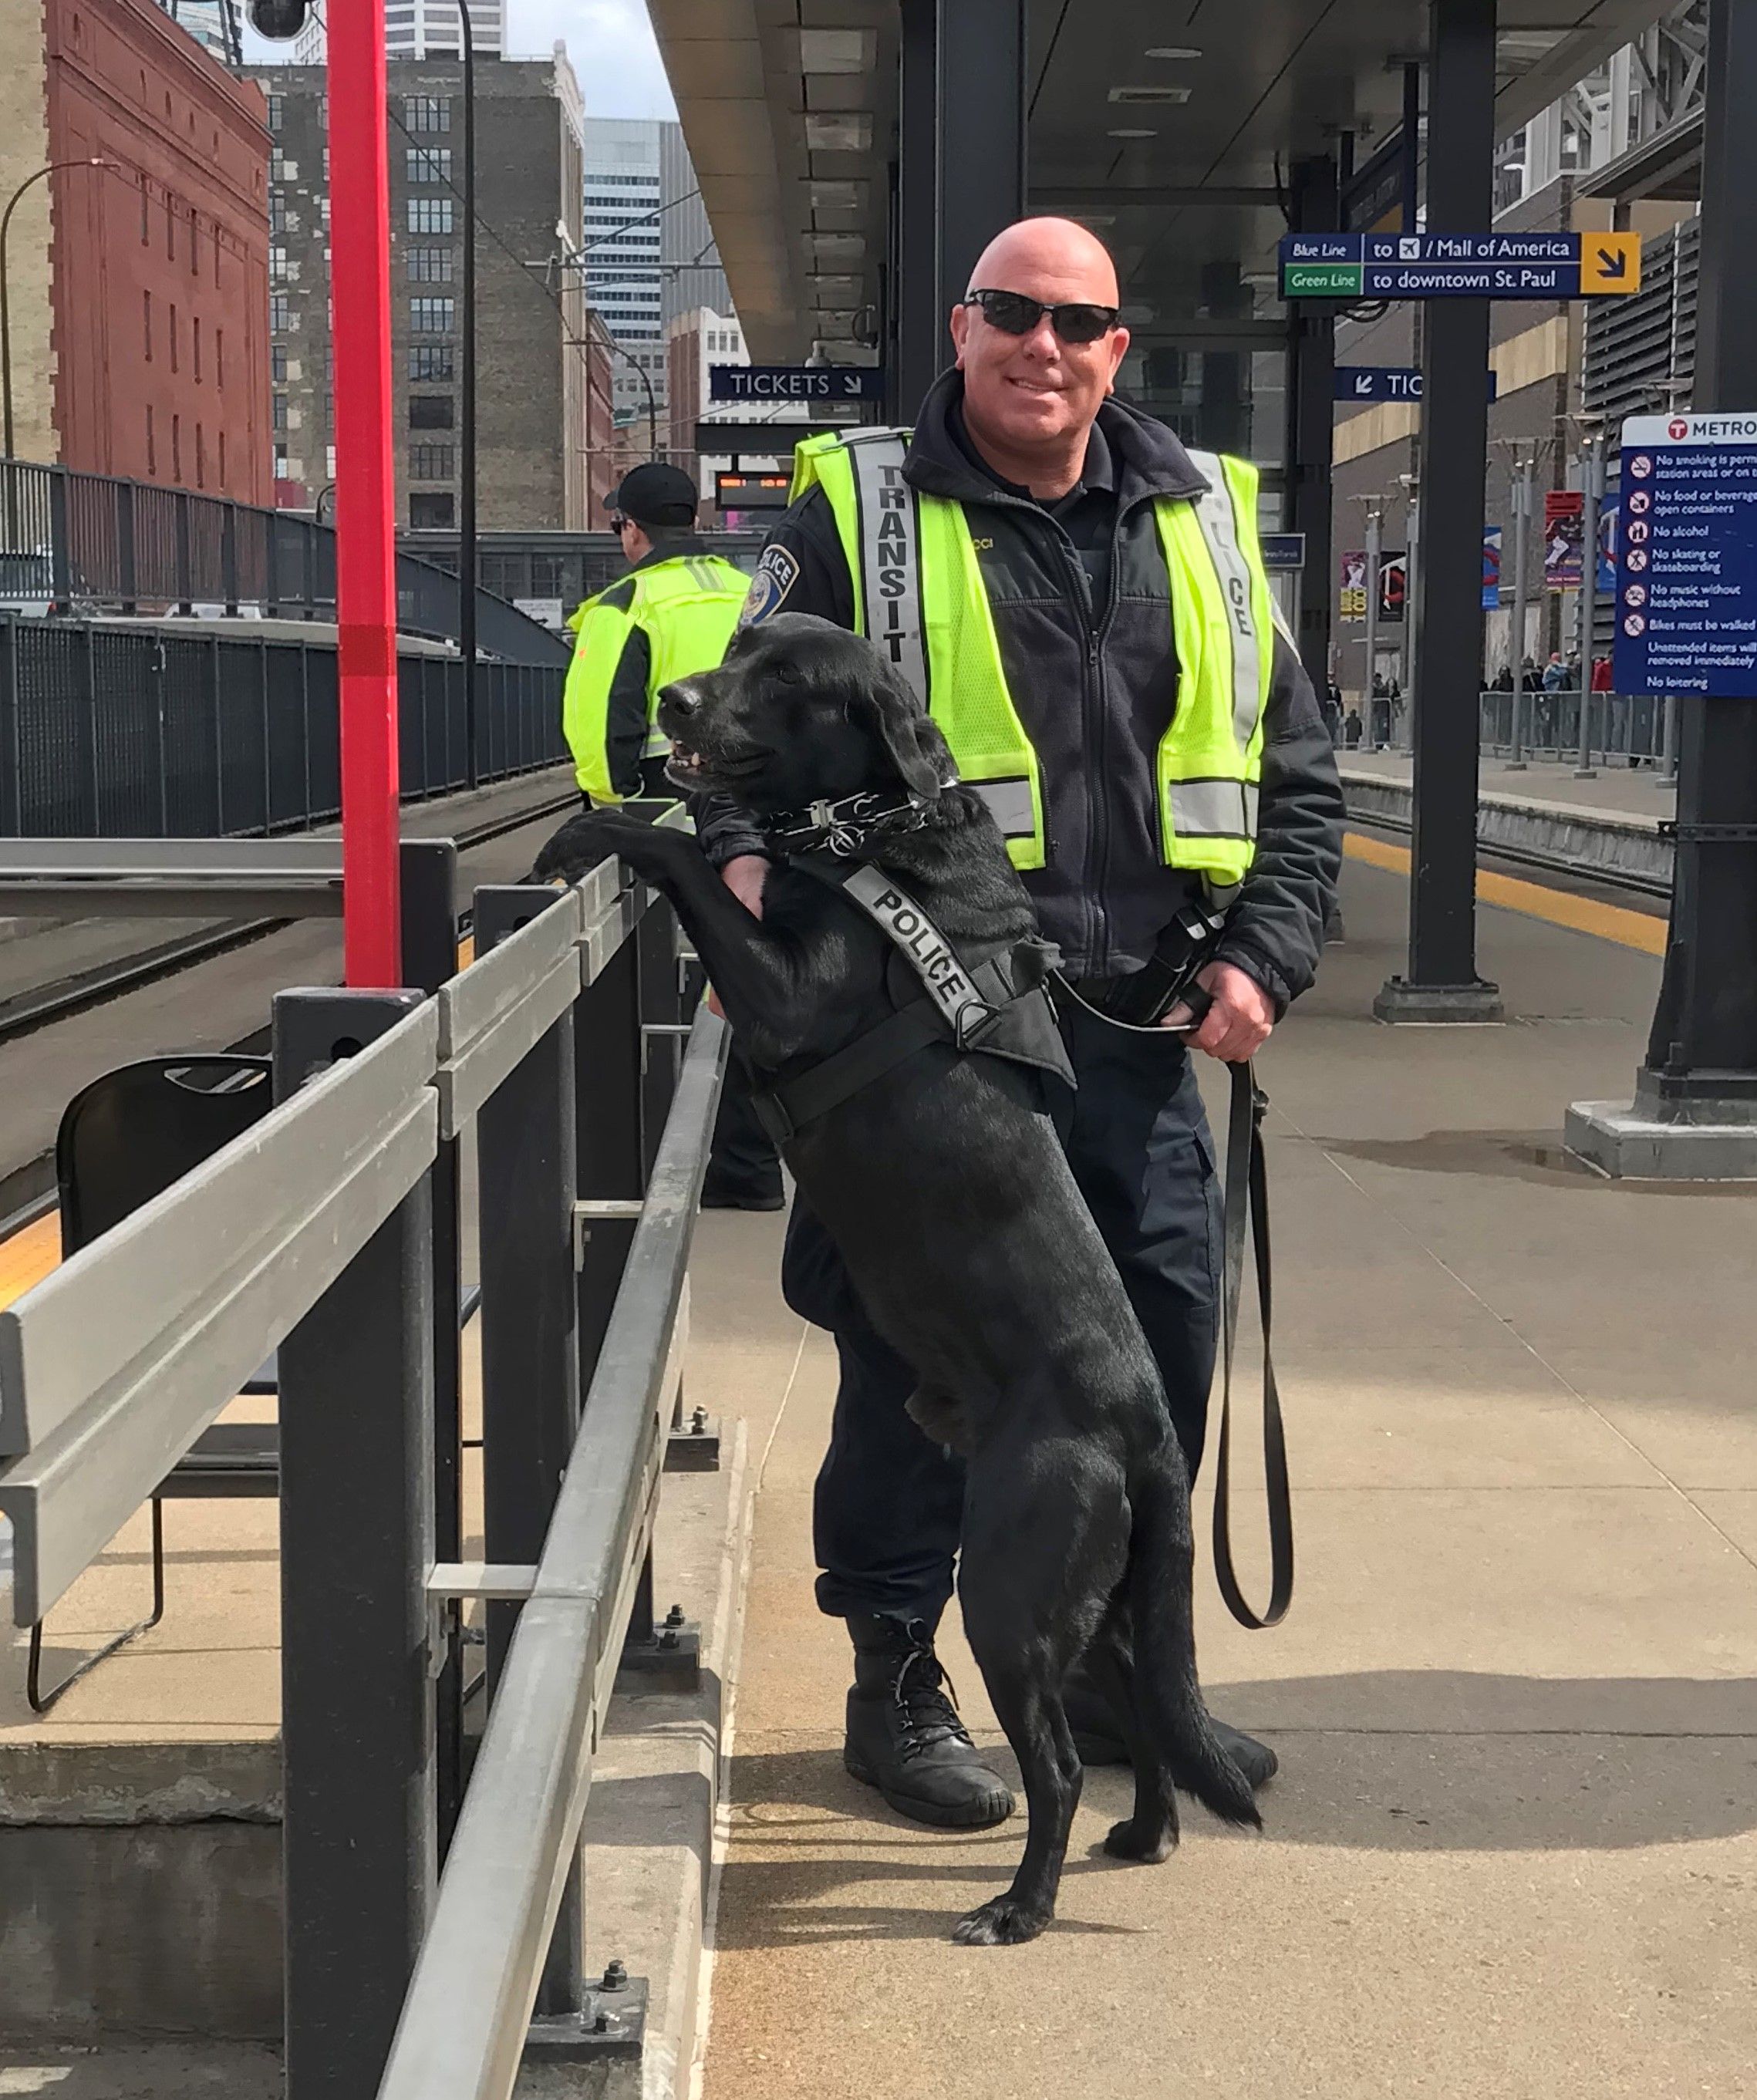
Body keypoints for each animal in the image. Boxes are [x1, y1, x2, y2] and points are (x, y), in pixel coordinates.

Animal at [527, 613, 1251, 1940]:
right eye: (736, 646)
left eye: (784, 678)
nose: (675, 694)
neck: (875, 828)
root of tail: (1148, 1429)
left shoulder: (784, 994)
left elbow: (685, 851)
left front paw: (599, 828)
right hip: (1092, 1598)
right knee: (1142, 1711)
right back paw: (1142, 1834)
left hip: (1010, 1578)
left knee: (1055, 1760)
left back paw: (1020, 1905)